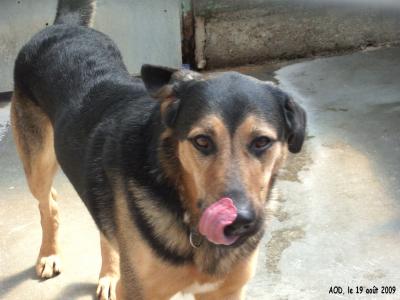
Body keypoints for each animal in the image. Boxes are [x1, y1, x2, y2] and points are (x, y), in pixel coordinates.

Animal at [11, 0, 306, 298]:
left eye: (261, 142)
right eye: (202, 141)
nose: (237, 224)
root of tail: (63, 27)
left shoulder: (227, 291)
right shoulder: (140, 291)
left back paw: (109, 274)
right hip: (38, 166)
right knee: (49, 202)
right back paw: (49, 255)